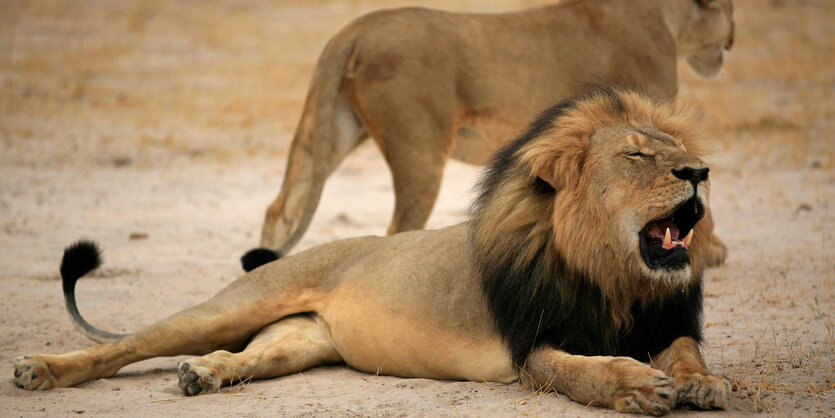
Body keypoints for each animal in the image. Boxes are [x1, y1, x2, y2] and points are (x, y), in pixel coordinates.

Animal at [13, 88, 732, 414]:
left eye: (676, 151)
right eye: (638, 156)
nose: (700, 172)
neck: (614, 276)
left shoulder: (663, 320)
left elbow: (685, 351)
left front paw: (702, 383)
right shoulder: (532, 345)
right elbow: (584, 371)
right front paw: (637, 386)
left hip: (297, 341)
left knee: (242, 357)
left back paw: (203, 376)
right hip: (232, 306)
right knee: (123, 347)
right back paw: (40, 370)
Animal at [250, 0, 740, 272]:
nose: (734, 38)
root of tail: (352, 31)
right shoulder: (648, 115)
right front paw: (711, 250)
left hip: (331, 129)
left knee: (281, 207)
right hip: (419, 150)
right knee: (398, 228)